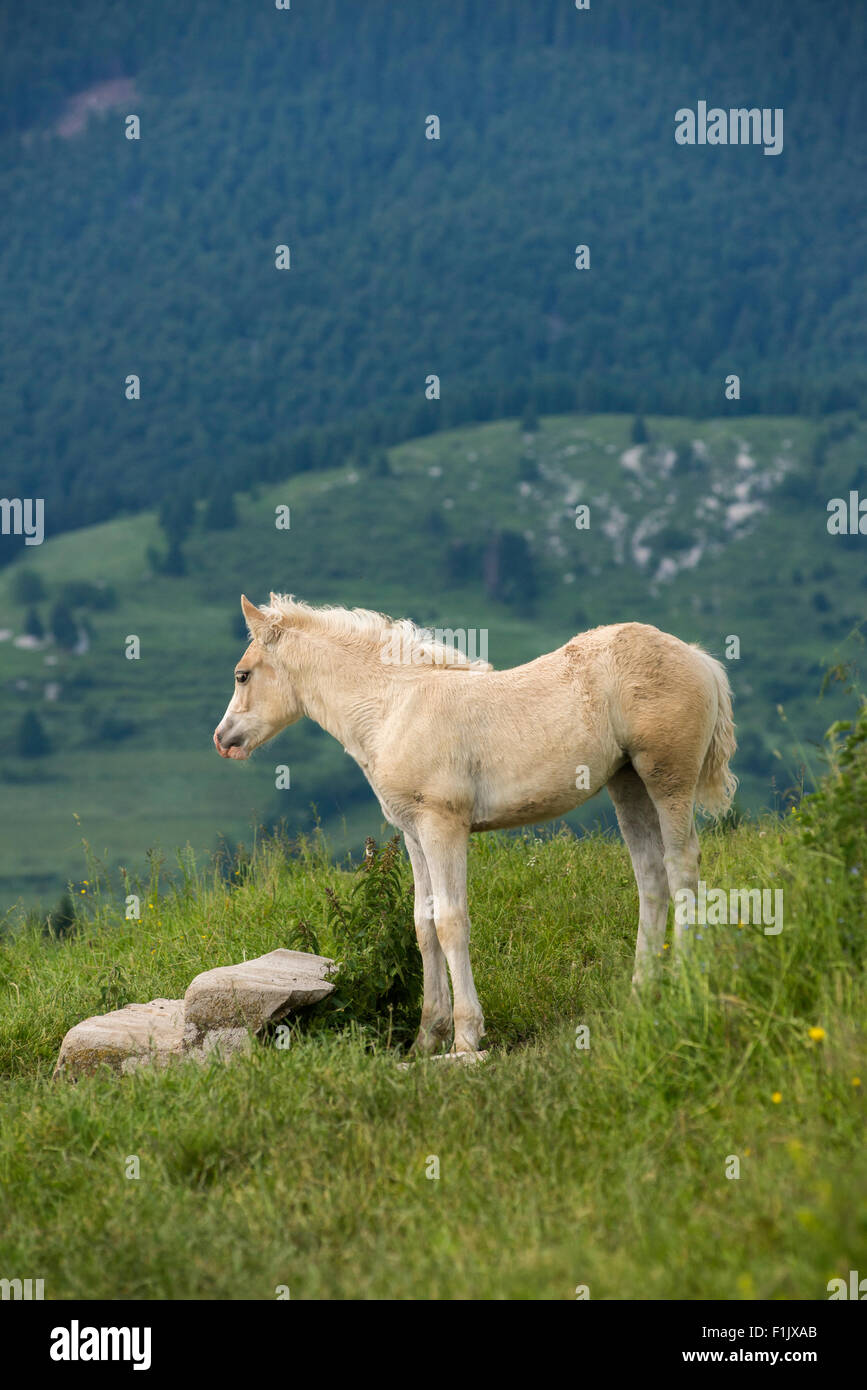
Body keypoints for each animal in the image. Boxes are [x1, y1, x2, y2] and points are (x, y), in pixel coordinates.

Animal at [213, 594, 733, 1050]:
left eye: (242, 675)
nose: (222, 739)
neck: (393, 707)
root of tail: (699, 658)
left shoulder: (443, 825)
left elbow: (451, 921)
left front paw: (465, 1036)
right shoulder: (413, 832)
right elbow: (423, 924)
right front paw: (427, 1037)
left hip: (667, 775)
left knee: (681, 867)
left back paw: (685, 981)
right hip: (627, 782)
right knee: (651, 877)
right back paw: (641, 992)